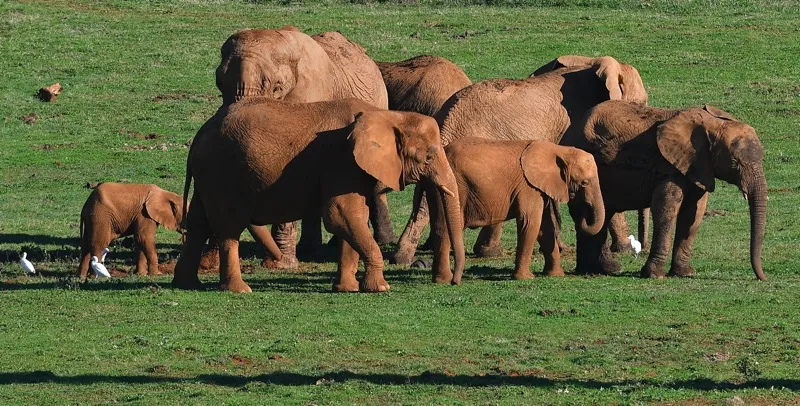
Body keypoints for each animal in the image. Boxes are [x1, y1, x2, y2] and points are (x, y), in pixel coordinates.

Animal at [173, 97, 465, 293]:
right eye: (428, 157)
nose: (453, 282)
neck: (387, 115)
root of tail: (200, 133)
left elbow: (353, 218)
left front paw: (347, 289)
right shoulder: (342, 161)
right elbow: (340, 214)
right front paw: (380, 288)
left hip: (209, 175)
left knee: (199, 224)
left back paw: (186, 284)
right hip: (221, 173)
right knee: (228, 227)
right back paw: (239, 290)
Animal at [426, 138, 605, 284]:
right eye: (584, 183)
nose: (583, 214)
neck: (559, 150)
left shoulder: (539, 187)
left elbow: (545, 227)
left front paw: (556, 275)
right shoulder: (528, 186)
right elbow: (531, 222)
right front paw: (526, 278)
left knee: (439, 227)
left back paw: (442, 280)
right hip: (454, 186)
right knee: (445, 226)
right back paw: (446, 280)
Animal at [561, 101, 767, 280]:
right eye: (735, 162)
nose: (762, 277)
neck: (712, 124)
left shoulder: (698, 167)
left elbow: (694, 214)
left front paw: (685, 274)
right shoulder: (669, 167)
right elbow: (665, 209)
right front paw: (654, 275)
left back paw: (598, 270)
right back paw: (598, 270)